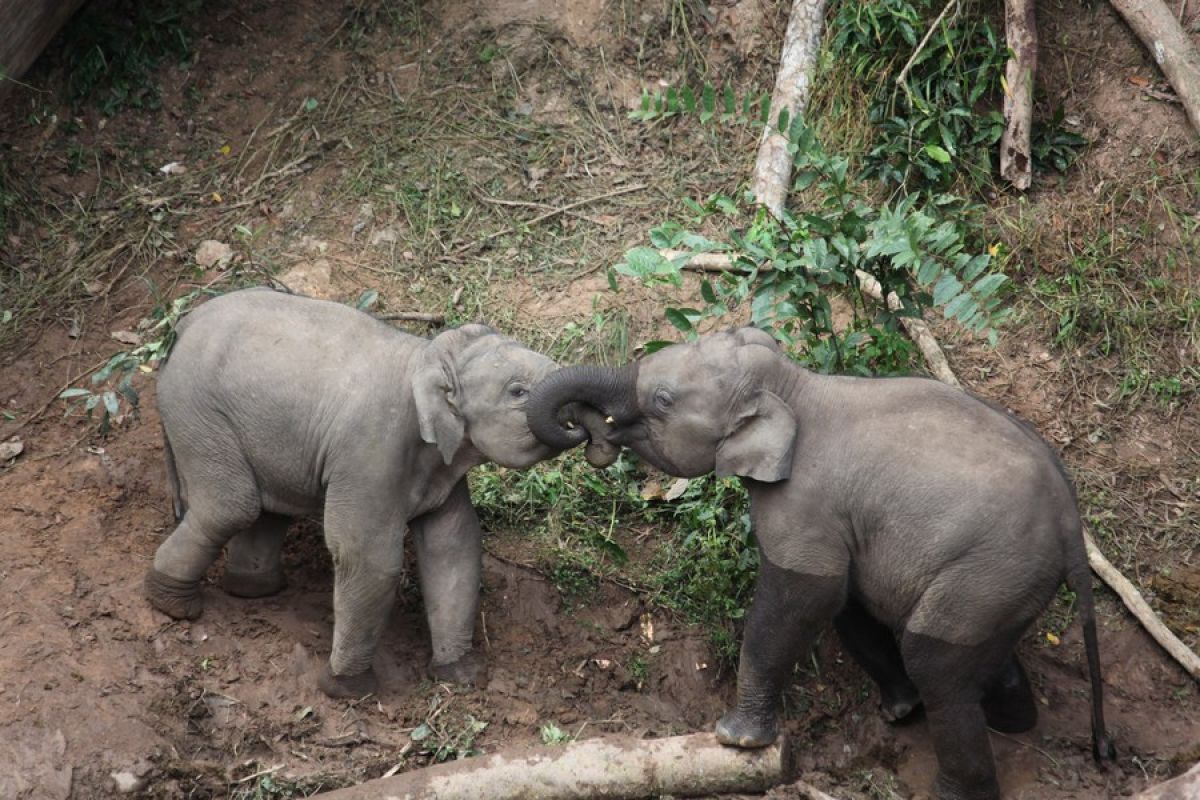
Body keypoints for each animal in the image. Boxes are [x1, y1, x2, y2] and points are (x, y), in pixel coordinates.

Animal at [146, 289, 561, 700]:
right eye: (518, 391)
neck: (424, 355)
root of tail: (182, 324)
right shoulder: (370, 451)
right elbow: (368, 558)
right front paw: (347, 690)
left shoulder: (440, 467)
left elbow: (453, 547)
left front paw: (460, 674)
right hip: (198, 412)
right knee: (232, 506)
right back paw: (173, 605)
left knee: (267, 508)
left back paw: (253, 591)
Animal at [530, 326, 1118, 800]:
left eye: (663, 399)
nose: (591, 435)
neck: (795, 383)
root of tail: (1072, 525)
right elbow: (847, 602)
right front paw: (899, 712)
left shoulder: (803, 503)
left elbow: (805, 595)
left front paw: (736, 739)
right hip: (1004, 582)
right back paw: (1009, 721)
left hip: (991, 568)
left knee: (934, 657)